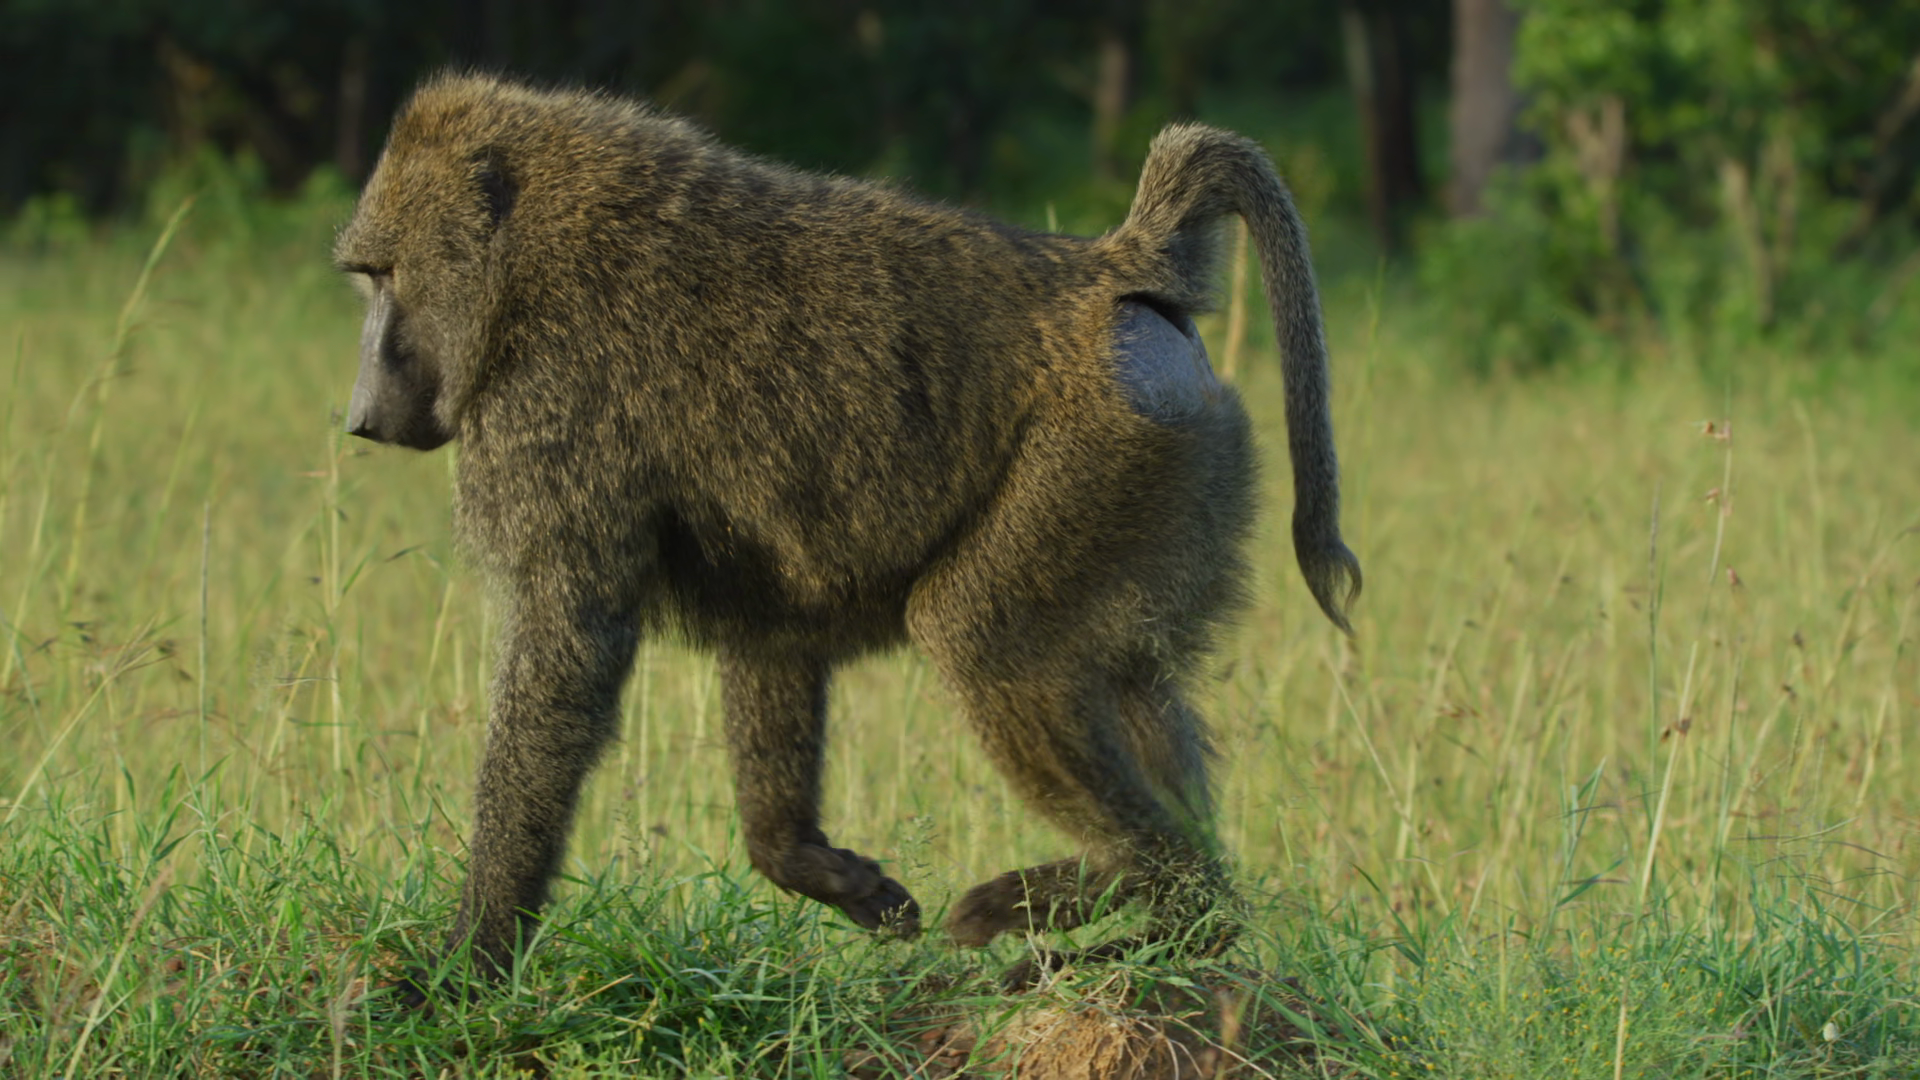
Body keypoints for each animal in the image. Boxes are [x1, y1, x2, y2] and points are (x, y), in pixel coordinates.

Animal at [334, 72, 1360, 992]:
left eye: (382, 278)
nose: (359, 415)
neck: (531, 259)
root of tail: (1110, 268)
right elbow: (771, 635)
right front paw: (824, 871)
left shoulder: (549, 412)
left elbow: (566, 657)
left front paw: (466, 963)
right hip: (1178, 459)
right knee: (1132, 681)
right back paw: (1184, 924)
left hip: (1098, 453)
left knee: (981, 638)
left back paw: (1112, 891)